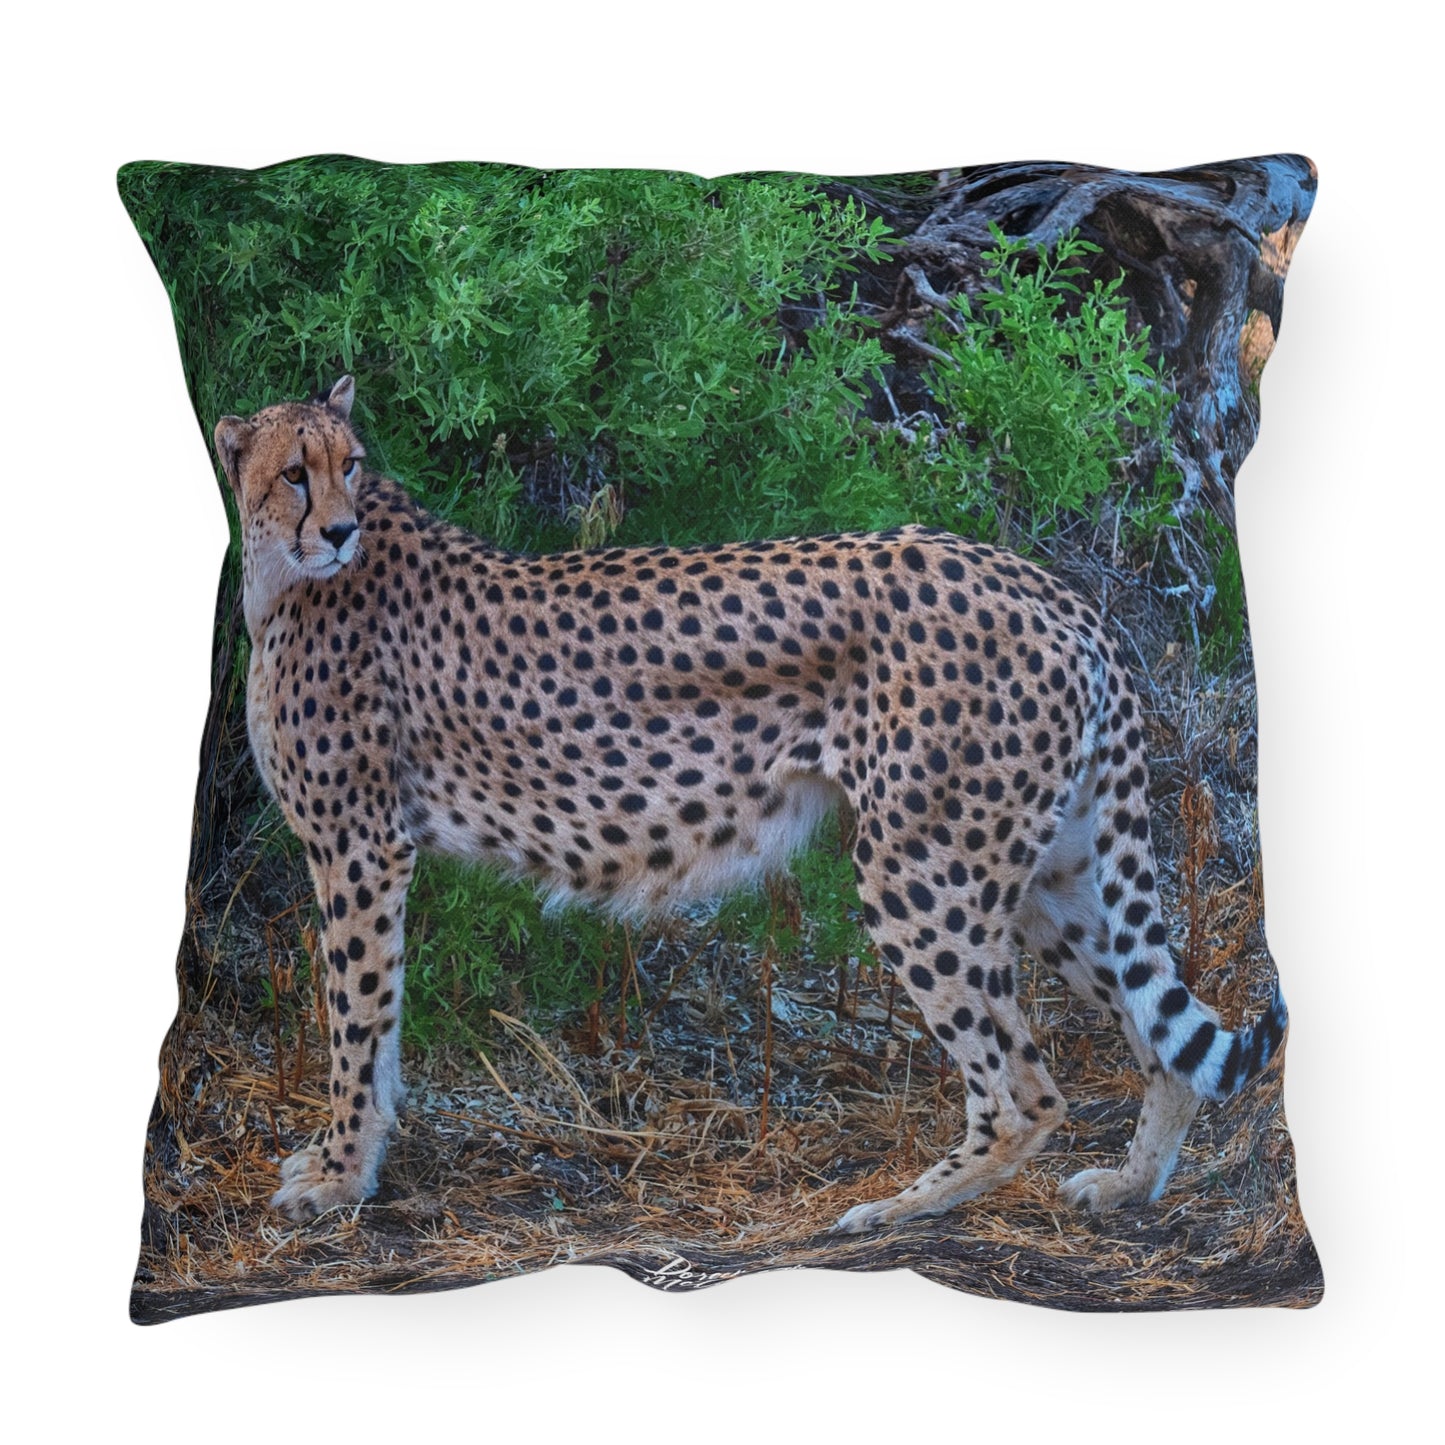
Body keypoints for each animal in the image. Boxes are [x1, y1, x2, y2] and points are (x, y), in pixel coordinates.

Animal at [214, 377, 1288, 1230]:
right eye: (296, 472)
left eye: (349, 465)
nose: (339, 527)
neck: (288, 574)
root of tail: (1040, 581)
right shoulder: (368, 848)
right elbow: (381, 1022)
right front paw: (356, 1163)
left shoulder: (358, 846)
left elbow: (356, 1017)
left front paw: (340, 1177)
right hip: (1045, 873)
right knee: (1164, 1037)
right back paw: (1127, 1185)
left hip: (922, 871)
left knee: (1025, 1088)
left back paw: (895, 1207)